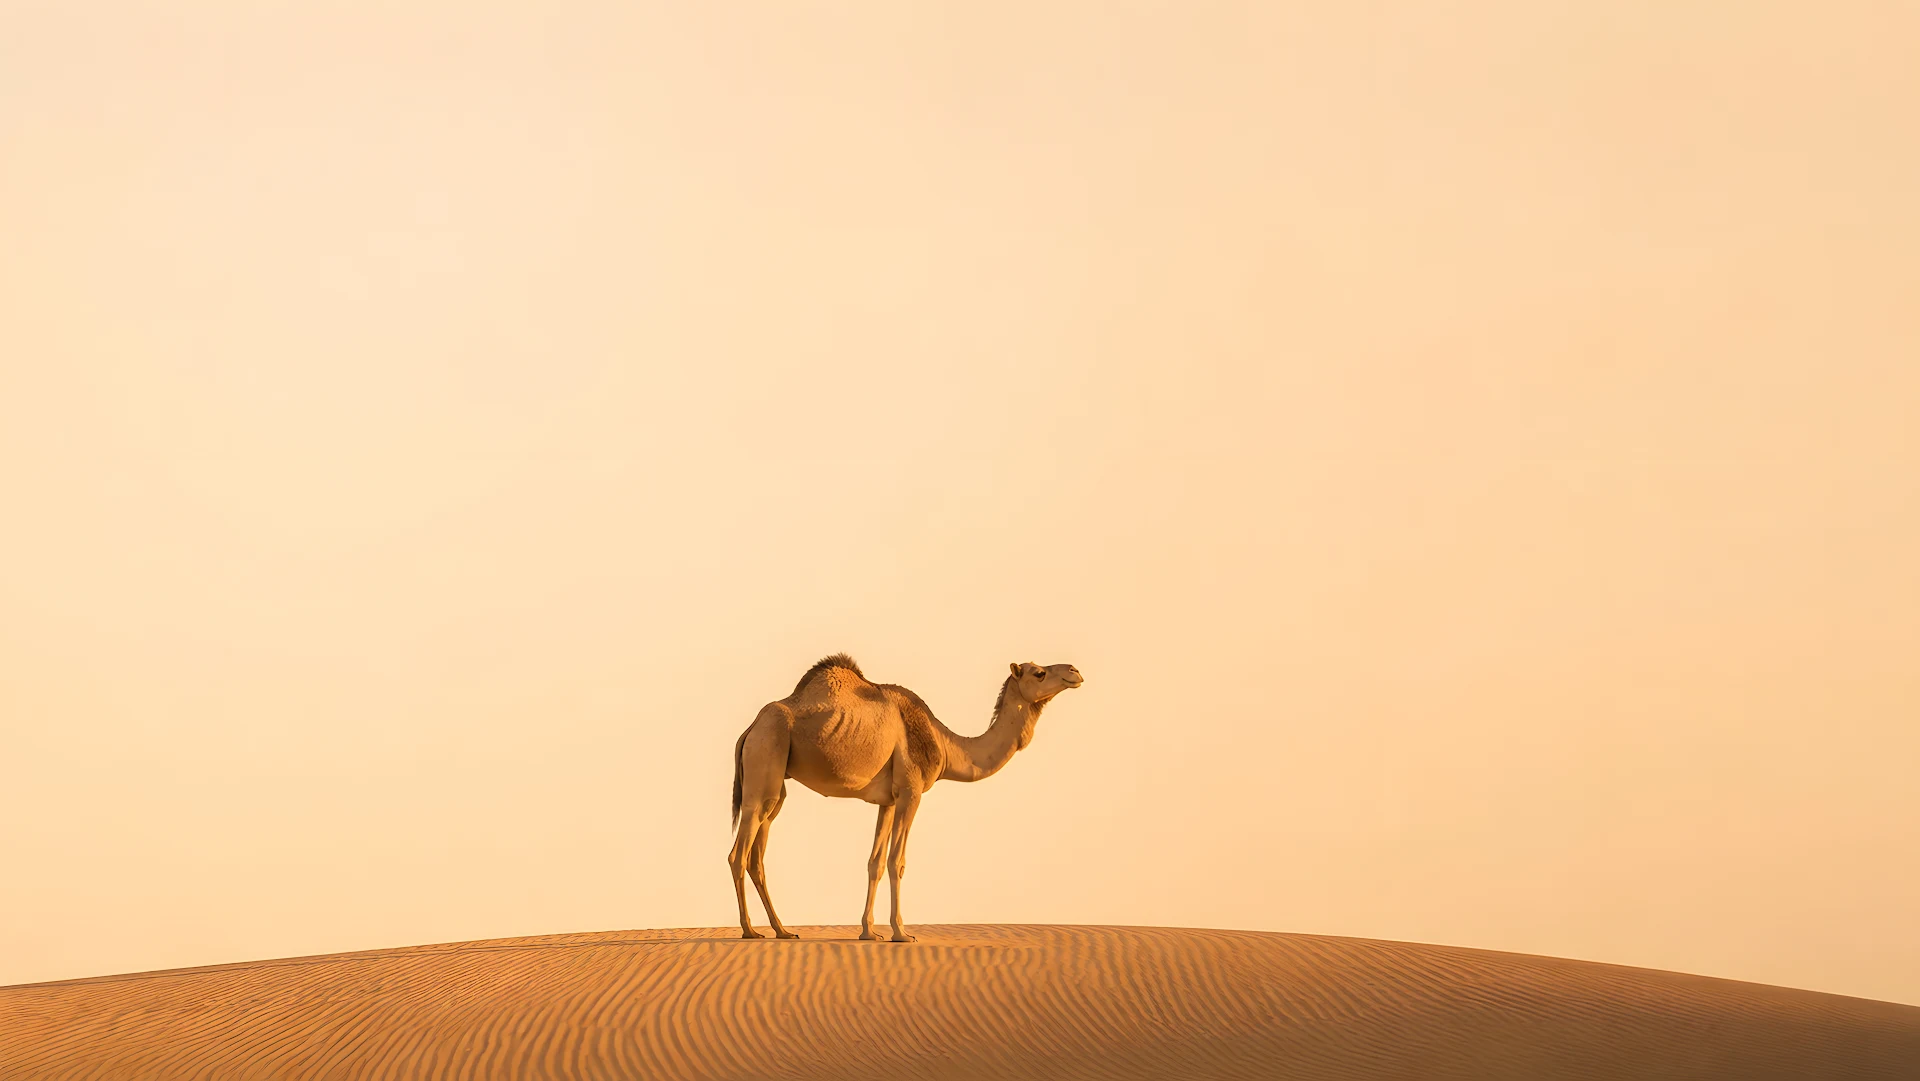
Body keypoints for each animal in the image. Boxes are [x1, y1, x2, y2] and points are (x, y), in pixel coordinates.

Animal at [728, 654, 1084, 942]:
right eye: (1039, 672)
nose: (1074, 670)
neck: (943, 743)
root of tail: (749, 730)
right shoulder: (912, 791)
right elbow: (896, 861)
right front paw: (901, 933)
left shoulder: (888, 800)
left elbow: (874, 863)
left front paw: (868, 933)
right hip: (765, 761)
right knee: (739, 853)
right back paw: (750, 931)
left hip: (776, 786)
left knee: (758, 856)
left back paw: (782, 931)